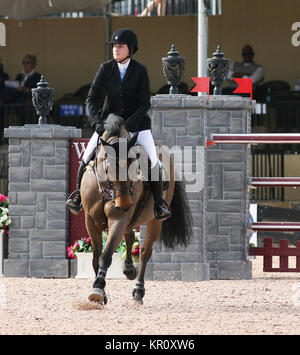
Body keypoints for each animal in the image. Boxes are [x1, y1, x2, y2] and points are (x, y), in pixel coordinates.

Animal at [79, 114, 192, 306]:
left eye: (134, 163)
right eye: (108, 167)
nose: (124, 203)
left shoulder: (119, 219)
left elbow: (106, 255)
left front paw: (98, 288)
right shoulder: (90, 221)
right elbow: (96, 257)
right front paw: (99, 292)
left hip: (154, 220)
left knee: (145, 252)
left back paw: (138, 291)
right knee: (130, 236)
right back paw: (129, 269)